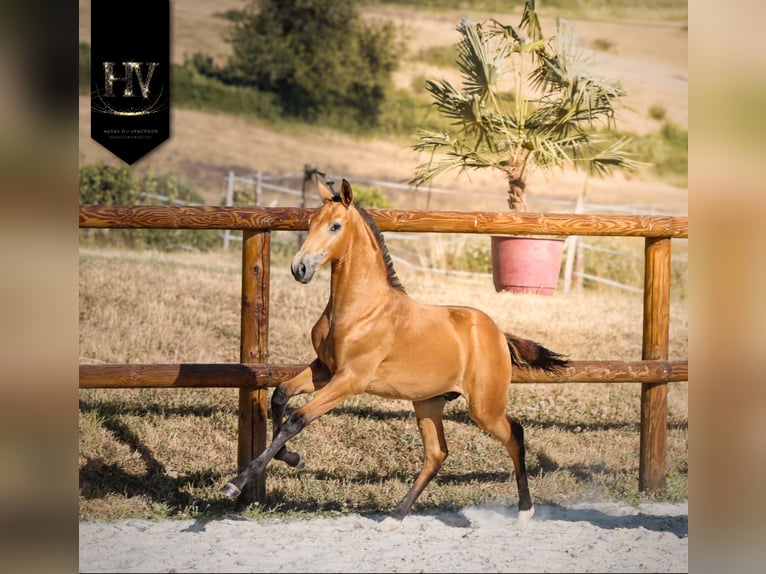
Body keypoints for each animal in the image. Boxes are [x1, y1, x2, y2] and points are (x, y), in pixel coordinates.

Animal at [221, 176, 569, 528]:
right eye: (310, 224)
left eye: (335, 226)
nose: (300, 268)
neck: (362, 308)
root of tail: (498, 334)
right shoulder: (324, 369)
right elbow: (280, 396)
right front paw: (292, 458)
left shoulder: (351, 379)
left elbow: (297, 418)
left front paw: (235, 484)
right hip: (428, 403)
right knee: (436, 454)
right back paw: (395, 516)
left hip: (485, 408)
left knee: (514, 435)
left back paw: (525, 511)